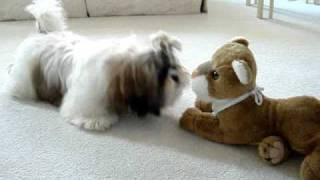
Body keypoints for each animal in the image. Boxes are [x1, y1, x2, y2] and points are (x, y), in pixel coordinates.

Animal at [6, 0, 190, 130]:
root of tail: (45, 33)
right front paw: (97, 121)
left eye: (176, 64)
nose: (182, 79)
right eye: (168, 74)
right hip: (25, 76)